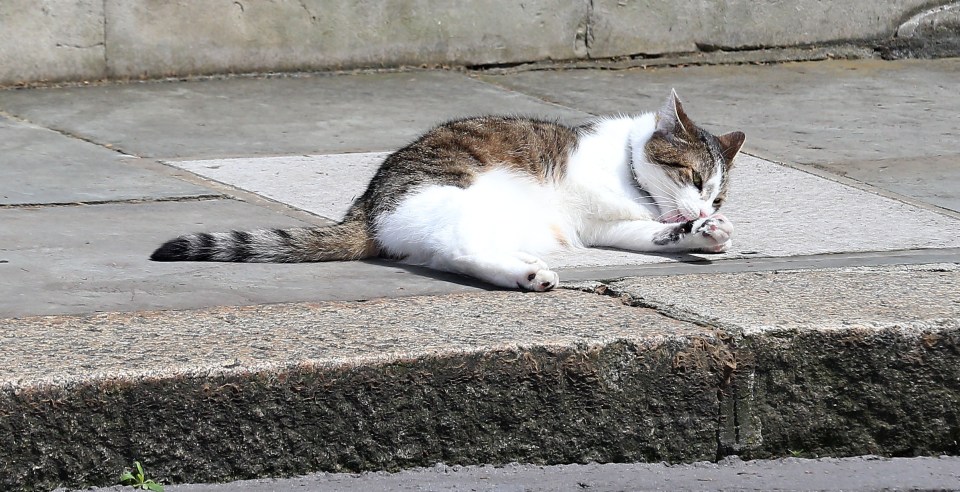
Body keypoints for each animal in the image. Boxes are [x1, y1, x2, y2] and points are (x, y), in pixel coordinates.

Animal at [154, 89, 748, 290]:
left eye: (717, 195)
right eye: (695, 178)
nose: (704, 205)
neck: (629, 174)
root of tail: (366, 206)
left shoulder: (610, 227)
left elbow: (655, 234)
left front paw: (704, 232)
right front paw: (693, 227)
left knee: (449, 255)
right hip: (457, 197)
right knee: (458, 252)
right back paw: (525, 276)